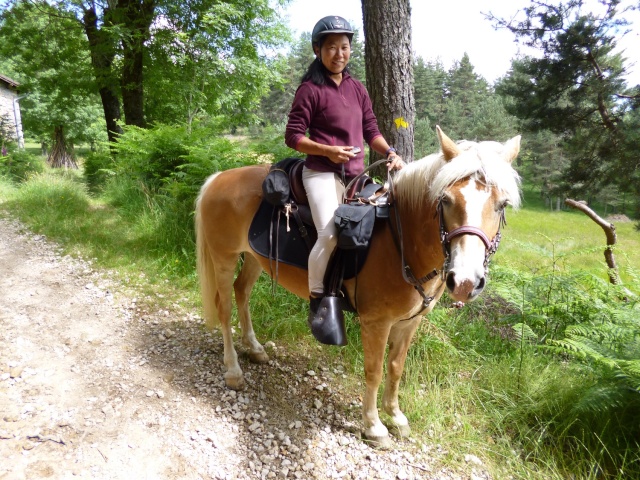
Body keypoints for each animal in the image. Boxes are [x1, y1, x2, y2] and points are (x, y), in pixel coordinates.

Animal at [196, 127, 520, 446]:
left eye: (501, 204)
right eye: (446, 200)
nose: (465, 281)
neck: (401, 239)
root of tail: (219, 177)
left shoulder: (409, 323)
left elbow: (396, 367)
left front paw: (396, 416)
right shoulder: (376, 322)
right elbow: (374, 370)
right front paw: (374, 425)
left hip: (254, 258)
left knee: (242, 292)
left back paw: (254, 348)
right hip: (224, 258)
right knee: (224, 308)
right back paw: (233, 370)